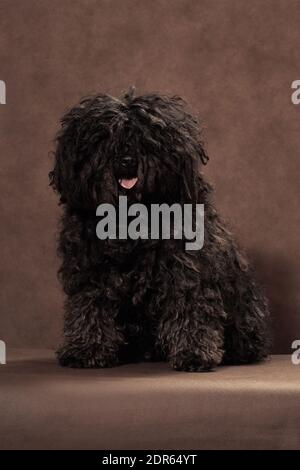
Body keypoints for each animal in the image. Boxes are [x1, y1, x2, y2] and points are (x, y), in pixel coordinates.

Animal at [49, 88, 270, 370]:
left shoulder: (187, 270)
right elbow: (89, 307)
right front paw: (87, 349)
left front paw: (194, 353)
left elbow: (190, 309)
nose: (126, 160)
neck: (132, 218)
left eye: (147, 138)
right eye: (105, 137)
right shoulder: (89, 271)